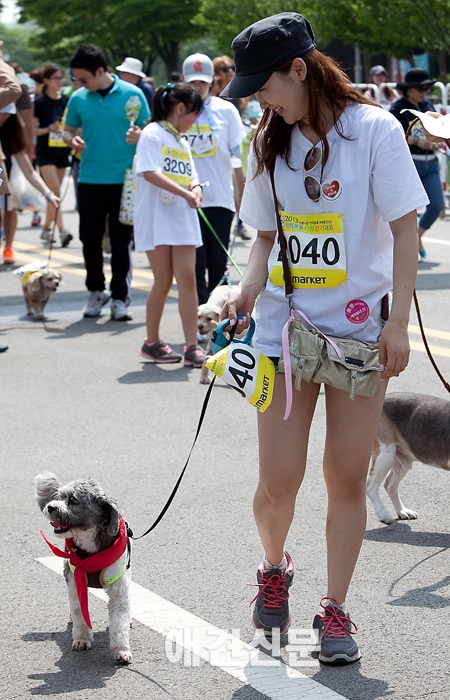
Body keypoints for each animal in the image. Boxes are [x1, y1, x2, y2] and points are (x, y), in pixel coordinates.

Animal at [35, 470, 131, 660]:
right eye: (59, 496)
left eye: (74, 500)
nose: (51, 507)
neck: (91, 551)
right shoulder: (75, 580)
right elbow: (79, 612)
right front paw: (81, 639)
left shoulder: (118, 588)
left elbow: (120, 621)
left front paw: (122, 649)